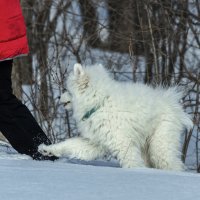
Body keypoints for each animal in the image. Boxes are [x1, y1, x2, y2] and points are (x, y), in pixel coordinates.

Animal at [38, 63, 193, 170]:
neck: (100, 103)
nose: (58, 97)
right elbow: (70, 144)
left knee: (171, 162)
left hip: (159, 144)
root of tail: (172, 103)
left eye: (66, 89)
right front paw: (48, 149)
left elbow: (130, 162)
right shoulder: (95, 141)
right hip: (146, 146)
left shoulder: (122, 142)